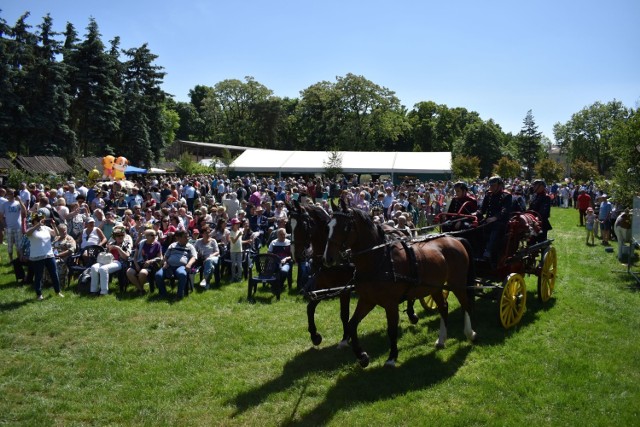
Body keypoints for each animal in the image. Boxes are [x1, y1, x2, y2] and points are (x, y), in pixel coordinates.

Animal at [322, 203, 478, 368]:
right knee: (443, 307)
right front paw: (362, 356)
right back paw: (441, 339)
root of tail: (455, 239)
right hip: (435, 287)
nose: (327, 258)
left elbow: (392, 330)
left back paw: (470, 333)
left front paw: (392, 357)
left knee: (465, 304)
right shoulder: (367, 300)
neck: (380, 259)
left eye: (346, 227)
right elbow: (352, 324)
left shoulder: (390, 304)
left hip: (457, 283)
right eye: (328, 226)